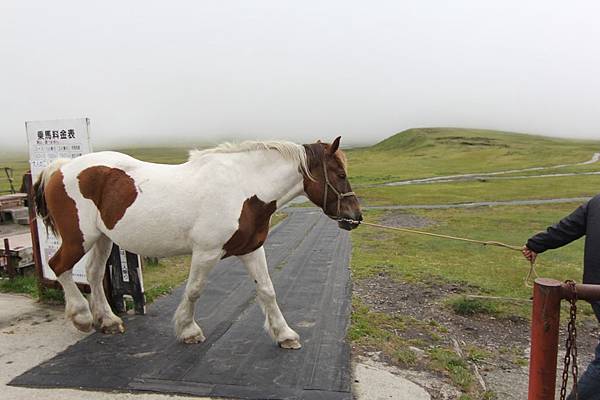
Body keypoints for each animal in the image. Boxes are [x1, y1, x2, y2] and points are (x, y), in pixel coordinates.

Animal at [34, 136, 360, 348]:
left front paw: (284, 334)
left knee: (93, 273)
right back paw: (82, 316)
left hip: (102, 238)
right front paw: (188, 330)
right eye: (340, 174)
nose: (355, 216)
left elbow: (267, 291)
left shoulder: (252, 249)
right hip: (80, 238)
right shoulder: (206, 253)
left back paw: (109, 320)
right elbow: (194, 291)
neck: (242, 188)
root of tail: (59, 166)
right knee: (59, 266)